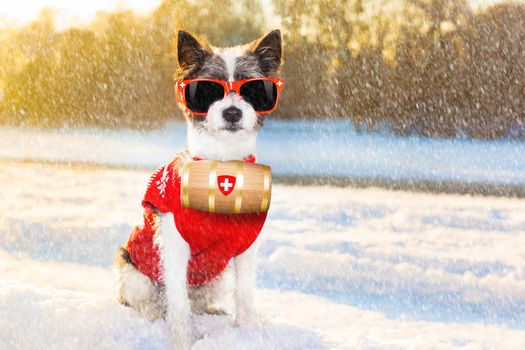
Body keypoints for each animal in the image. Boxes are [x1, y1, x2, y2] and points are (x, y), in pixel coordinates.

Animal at [115, 28, 282, 348]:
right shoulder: (175, 245)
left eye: (252, 88)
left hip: (214, 279)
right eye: (207, 89)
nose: (232, 112)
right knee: (151, 303)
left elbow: (245, 295)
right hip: (135, 274)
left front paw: (247, 335)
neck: (223, 162)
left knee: (199, 303)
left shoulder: (246, 247)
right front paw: (182, 340)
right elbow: (178, 302)